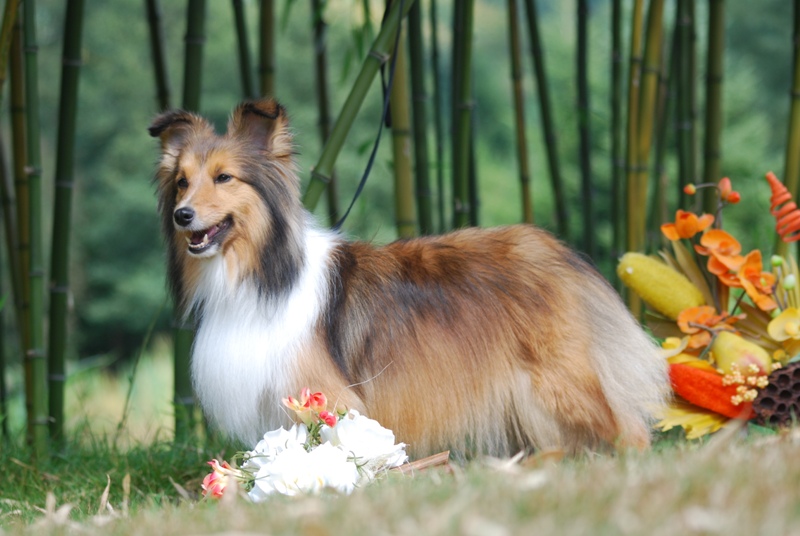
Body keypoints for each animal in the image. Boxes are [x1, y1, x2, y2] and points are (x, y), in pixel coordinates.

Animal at [150, 98, 668, 458]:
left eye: (225, 178)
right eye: (182, 181)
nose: (182, 216)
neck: (261, 273)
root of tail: (558, 253)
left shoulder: (329, 398)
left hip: (561, 382)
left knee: (629, 429)